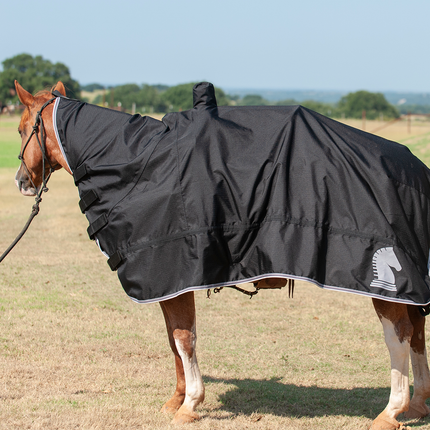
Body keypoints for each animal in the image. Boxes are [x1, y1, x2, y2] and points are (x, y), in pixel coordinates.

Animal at [11, 78, 430, 430]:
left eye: (20, 129)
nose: (20, 182)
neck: (139, 165)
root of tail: (415, 169)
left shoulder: (173, 276)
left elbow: (184, 339)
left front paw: (189, 404)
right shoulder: (170, 284)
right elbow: (173, 340)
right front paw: (176, 399)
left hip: (387, 282)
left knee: (399, 336)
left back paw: (391, 412)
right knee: (417, 332)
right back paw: (417, 404)